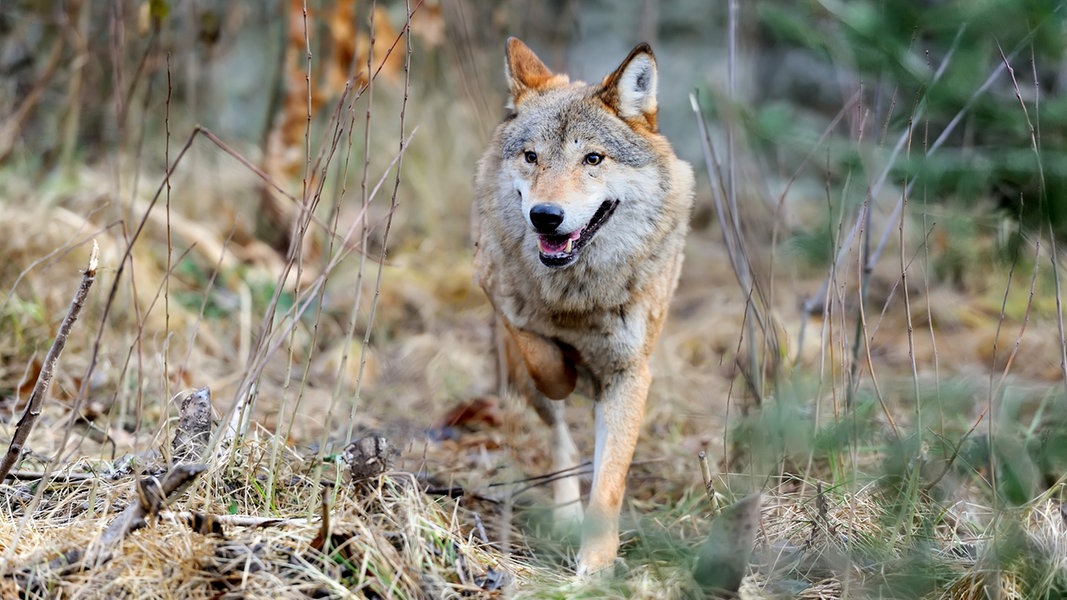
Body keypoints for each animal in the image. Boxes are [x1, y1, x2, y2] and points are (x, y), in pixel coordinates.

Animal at [473, 38, 691, 576]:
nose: (545, 216)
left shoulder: (631, 374)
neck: (579, 296)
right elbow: (544, 357)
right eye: (531, 156)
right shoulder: (499, 298)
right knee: (558, 437)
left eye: (593, 158)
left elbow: (610, 480)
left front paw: (596, 566)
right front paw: (567, 367)